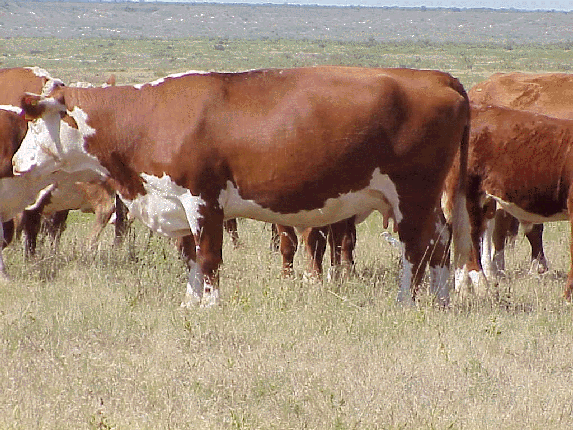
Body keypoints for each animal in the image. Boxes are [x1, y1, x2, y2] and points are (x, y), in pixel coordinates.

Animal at [14, 66, 471, 307]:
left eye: (34, 124)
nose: (16, 164)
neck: (148, 119)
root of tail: (434, 77)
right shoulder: (178, 204)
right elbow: (192, 258)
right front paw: (190, 304)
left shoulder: (203, 199)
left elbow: (209, 257)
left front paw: (210, 306)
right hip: (425, 198)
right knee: (440, 241)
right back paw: (441, 300)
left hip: (412, 193)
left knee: (416, 247)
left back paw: (405, 302)